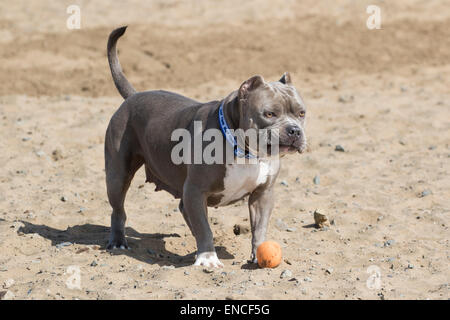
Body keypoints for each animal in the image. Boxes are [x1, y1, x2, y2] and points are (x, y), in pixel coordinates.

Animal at [104, 26, 306, 268]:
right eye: (269, 114)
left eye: (301, 113)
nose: (294, 130)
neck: (245, 152)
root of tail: (133, 97)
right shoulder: (195, 191)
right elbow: (204, 227)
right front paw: (208, 258)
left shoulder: (262, 194)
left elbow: (259, 228)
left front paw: (258, 254)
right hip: (117, 175)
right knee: (118, 209)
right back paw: (118, 242)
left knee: (183, 210)